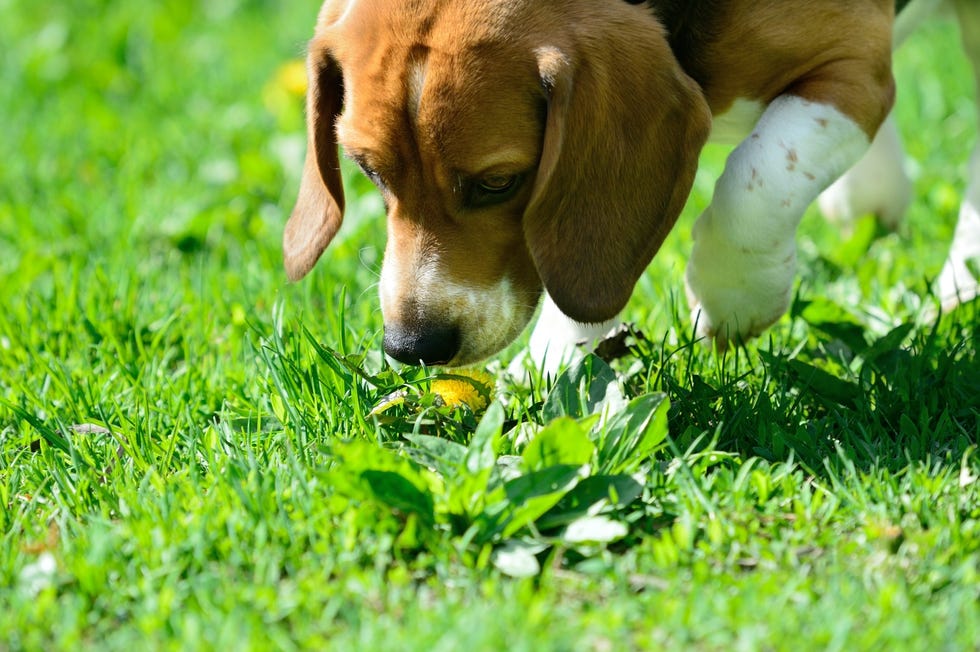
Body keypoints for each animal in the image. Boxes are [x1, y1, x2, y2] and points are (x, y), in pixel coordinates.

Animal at [284, 0, 980, 370]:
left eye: (498, 182)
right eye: (369, 170)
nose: (413, 346)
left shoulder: (854, 69)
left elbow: (754, 182)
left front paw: (733, 300)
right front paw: (558, 365)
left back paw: (960, 287)